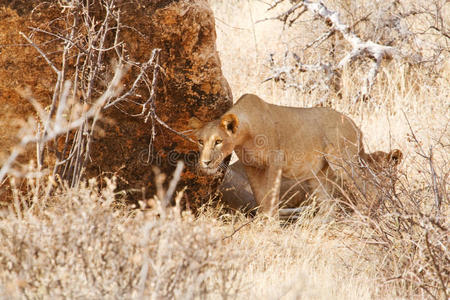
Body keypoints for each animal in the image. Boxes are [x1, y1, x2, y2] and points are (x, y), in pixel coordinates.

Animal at [190, 94, 400, 216]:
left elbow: (271, 197)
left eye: (218, 141)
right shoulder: (251, 167)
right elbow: (260, 197)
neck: (246, 132)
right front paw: (263, 222)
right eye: (201, 141)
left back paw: (359, 219)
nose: (205, 162)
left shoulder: (275, 163)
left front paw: (270, 224)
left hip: (343, 162)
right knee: (329, 206)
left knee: (370, 188)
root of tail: (354, 124)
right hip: (318, 175)